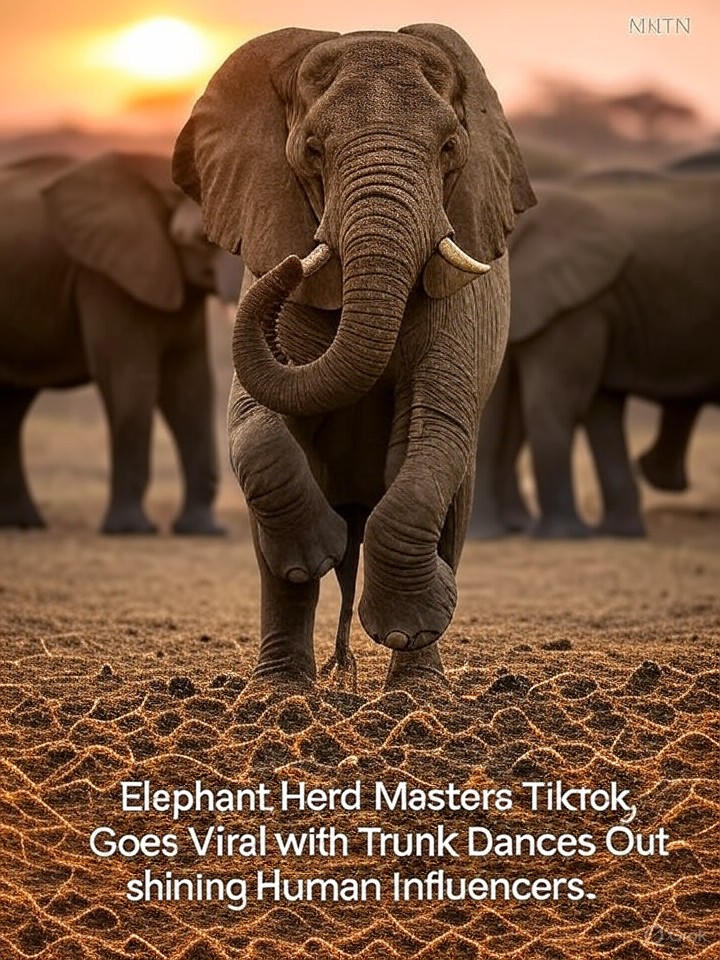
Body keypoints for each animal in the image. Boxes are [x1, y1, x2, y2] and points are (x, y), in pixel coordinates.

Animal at [0, 151, 240, 534]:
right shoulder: (104, 278)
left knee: (11, 405)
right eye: (203, 239)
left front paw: (205, 531)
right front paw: (132, 530)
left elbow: (192, 388)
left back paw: (24, 524)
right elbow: (130, 381)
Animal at [173, 25, 534, 686]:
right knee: (275, 559)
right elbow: (254, 418)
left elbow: (435, 428)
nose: (291, 264)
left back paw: (416, 688)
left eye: (450, 148)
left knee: (452, 505)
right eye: (313, 151)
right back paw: (281, 685)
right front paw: (321, 547)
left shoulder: (461, 300)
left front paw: (412, 623)